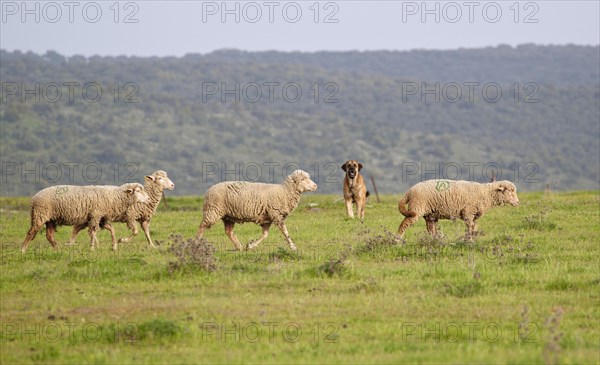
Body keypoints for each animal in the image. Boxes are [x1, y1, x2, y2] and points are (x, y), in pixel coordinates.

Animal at [21, 183, 149, 252]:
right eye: (138, 191)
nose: (148, 199)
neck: (113, 196)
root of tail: (34, 198)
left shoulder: (101, 218)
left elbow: (111, 230)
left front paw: (115, 246)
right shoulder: (95, 215)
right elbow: (93, 232)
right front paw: (92, 248)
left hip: (51, 219)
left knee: (49, 235)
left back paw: (58, 249)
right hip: (40, 214)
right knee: (31, 232)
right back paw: (22, 250)